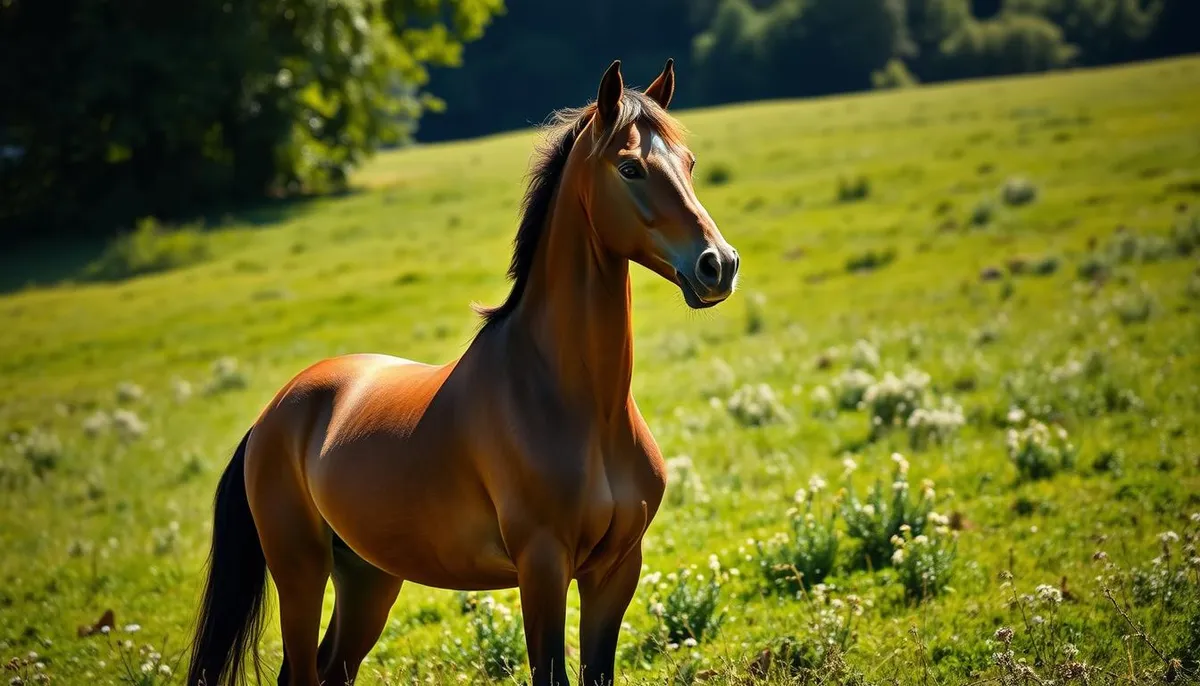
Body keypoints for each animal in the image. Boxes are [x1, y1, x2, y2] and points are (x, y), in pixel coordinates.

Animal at [186, 58, 740, 686]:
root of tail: (271, 416)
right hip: (300, 571)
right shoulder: (542, 567)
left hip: (369, 577)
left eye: (688, 163)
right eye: (630, 167)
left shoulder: (616, 570)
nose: (718, 265)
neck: (581, 405)